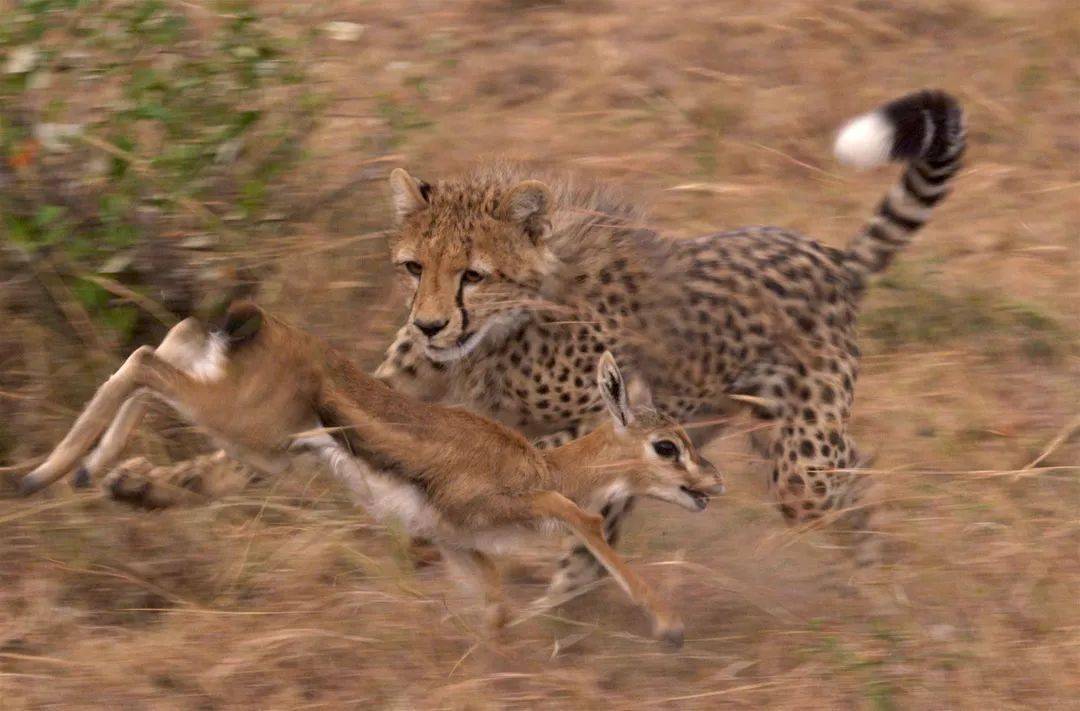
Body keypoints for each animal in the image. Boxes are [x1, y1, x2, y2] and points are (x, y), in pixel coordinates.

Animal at [375, 88, 967, 592]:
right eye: (414, 267)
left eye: (473, 275)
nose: (429, 325)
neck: (499, 336)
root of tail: (830, 257)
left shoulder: (613, 420)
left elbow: (545, 468)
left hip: (801, 467)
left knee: (853, 480)